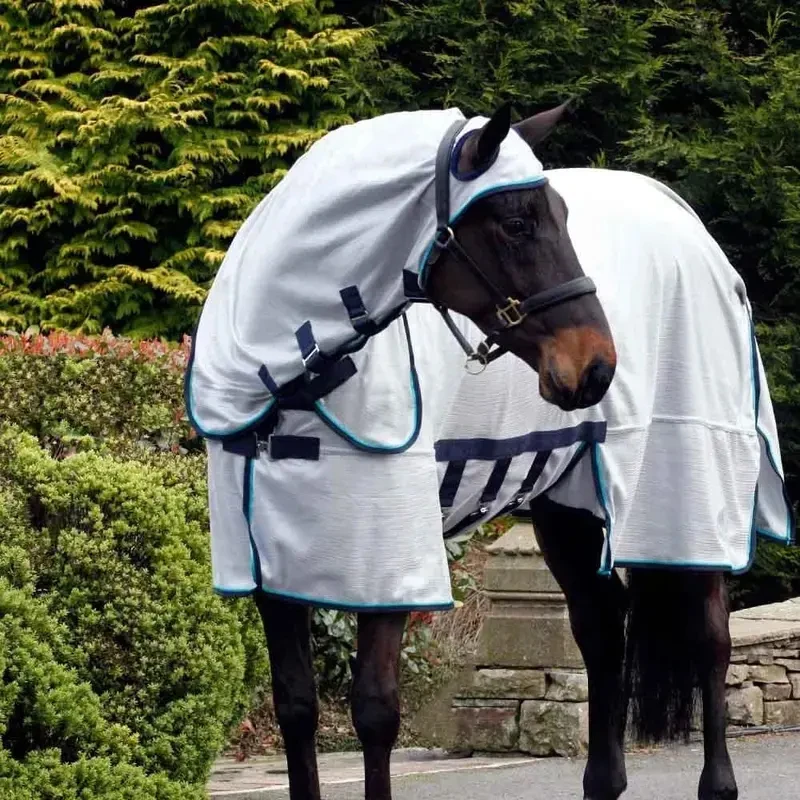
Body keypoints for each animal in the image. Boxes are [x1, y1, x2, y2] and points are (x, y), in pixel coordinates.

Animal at [185, 103, 792, 800]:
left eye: (559, 214)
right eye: (516, 223)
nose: (596, 367)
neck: (289, 385)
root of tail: (689, 225)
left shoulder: (392, 561)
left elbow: (374, 711)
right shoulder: (271, 575)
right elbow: (297, 707)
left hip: (689, 484)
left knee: (709, 638)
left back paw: (717, 783)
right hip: (568, 508)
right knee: (600, 633)